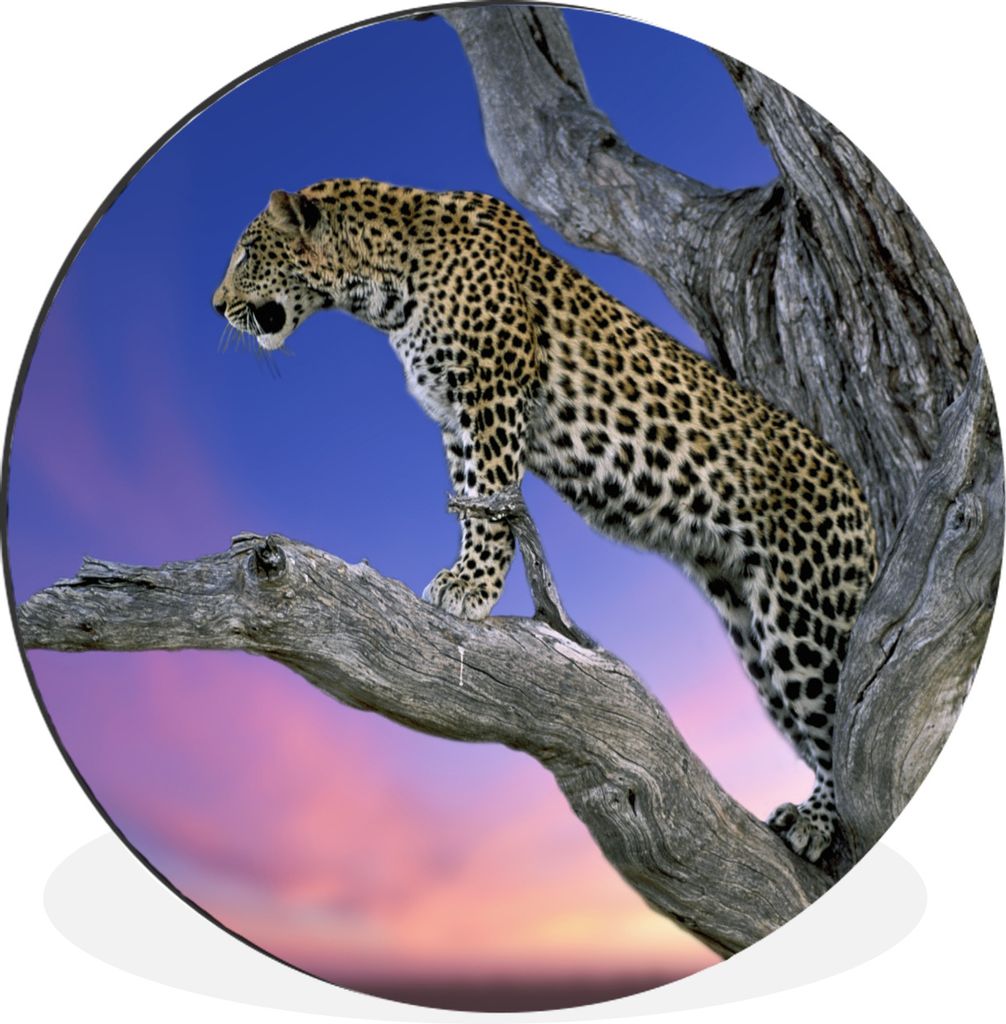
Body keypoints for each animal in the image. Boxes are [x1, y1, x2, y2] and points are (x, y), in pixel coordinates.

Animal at [212, 178, 878, 863]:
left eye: (245, 255)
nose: (216, 306)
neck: (382, 281)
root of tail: (860, 491)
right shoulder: (456, 417)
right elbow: (472, 497)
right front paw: (464, 576)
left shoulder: (492, 394)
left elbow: (492, 499)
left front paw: (471, 588)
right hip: (752, 629)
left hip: (803, 615)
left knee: (836, 722)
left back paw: (817, 820)